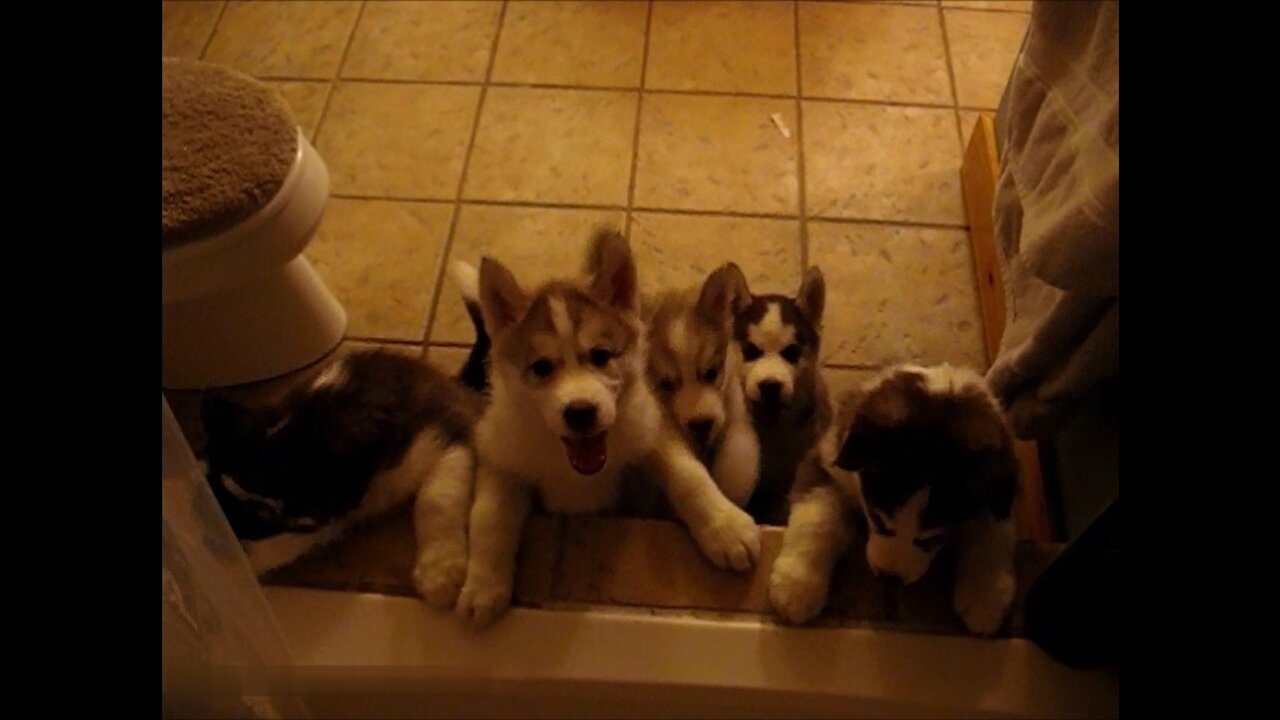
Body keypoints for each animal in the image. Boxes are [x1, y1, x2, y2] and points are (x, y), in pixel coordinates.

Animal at [450, 226, 757, 625]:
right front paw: (483, 586)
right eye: (541, 367)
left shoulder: (651, 427)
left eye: (600, 356)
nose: (580, 412)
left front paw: (726, 529)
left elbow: (689, 476)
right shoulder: (502, 455)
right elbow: (489, 516)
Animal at [762, 363, 1024, 632]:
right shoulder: (825, 464)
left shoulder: (1000, 497)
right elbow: (819, 520)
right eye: (877, 520)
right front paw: (798, 585)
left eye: (934, 538)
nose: (891, 579)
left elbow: (994, 535)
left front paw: (986, 598)